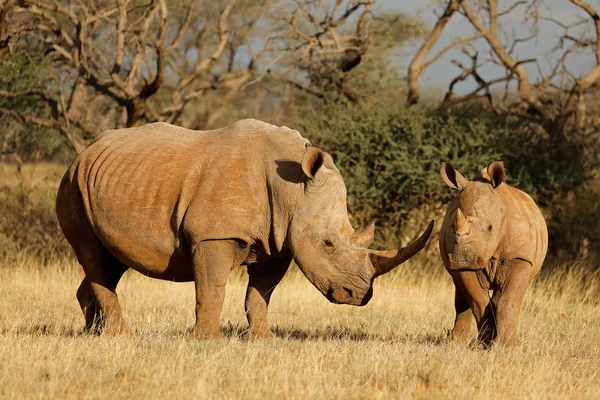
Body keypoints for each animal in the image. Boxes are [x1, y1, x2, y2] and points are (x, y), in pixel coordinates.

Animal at [56, 119, 434, 340]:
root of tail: (86, 150)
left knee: (110, 262)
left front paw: (264, 340)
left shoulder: (279, 241)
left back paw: (94, 334)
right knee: (93, 256)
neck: (292, 190)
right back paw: (121, 337)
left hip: (108, 181)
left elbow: (261, 293)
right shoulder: (213, 234)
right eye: (327, 243)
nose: (358, 296)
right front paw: (209, 342)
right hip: (72, 182)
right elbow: (212, 288)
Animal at [438, 161, 548, 346]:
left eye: (490, 227)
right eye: (452, 227)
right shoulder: (466, 265)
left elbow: (509, 301)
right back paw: (454, 342)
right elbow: (479, 301)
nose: (463, 260)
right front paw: (483, 344)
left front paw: (506, 345)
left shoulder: (520, 258)